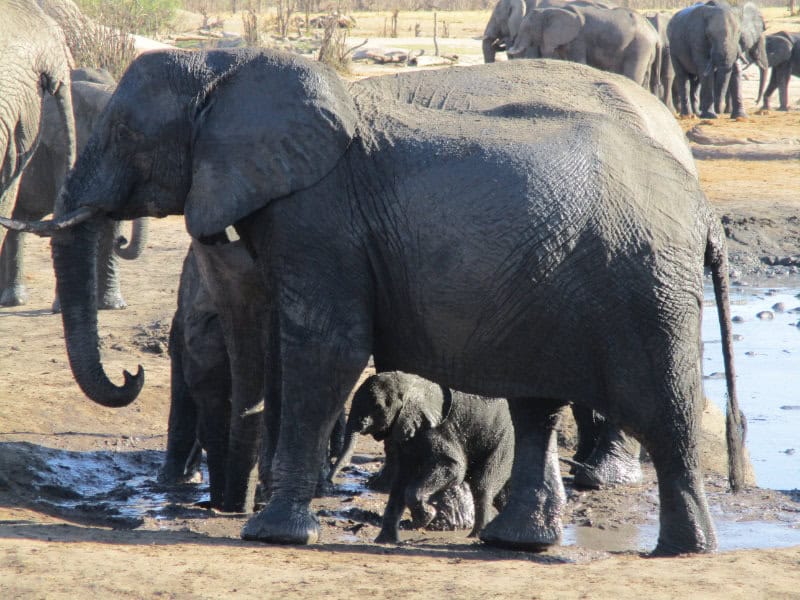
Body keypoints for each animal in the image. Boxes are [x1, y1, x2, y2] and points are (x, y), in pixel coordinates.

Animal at [330, 372, 514, 543]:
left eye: (377, 406)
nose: (331, 480)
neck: (411, 384)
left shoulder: (437, 430)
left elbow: (453, 468)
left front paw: (427, 516)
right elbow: (401, 480)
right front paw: (384, 541)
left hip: (504, 439)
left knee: (482, 486)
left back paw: (475, 536)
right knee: (500, 493)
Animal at [508, 4, 660, 90]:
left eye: (528, 29)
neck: (550, 10)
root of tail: (654, 34)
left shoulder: (578, 39)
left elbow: (578, 61)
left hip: (640, 46)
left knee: (633, 74)